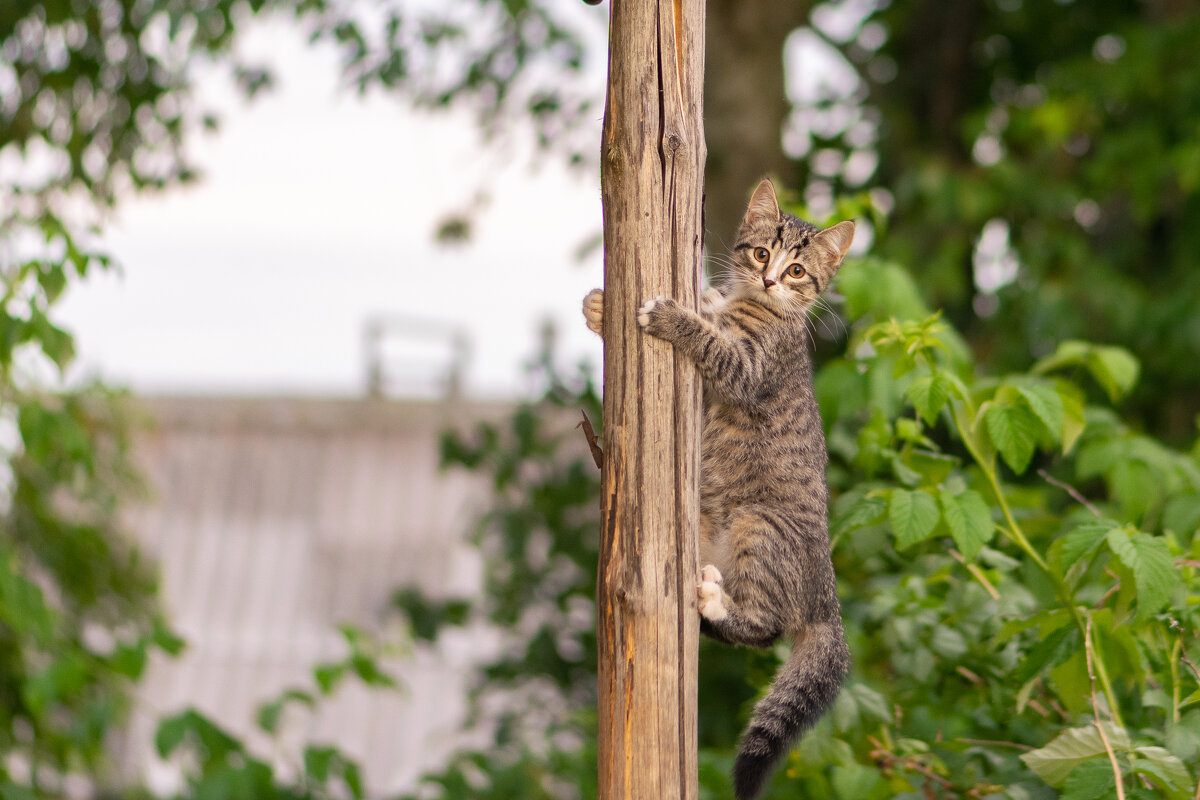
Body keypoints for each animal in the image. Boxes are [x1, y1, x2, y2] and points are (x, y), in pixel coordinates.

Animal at [580, 179, 854, 800]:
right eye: (761, 252)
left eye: (797, 269)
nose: (771, 279)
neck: (749, 304)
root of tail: (828, 598)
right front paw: (600, 307)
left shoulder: (746, 369)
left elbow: (712, 342)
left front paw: (669, 314)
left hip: (759, 524)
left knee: (764, 627)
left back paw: (715, 601)